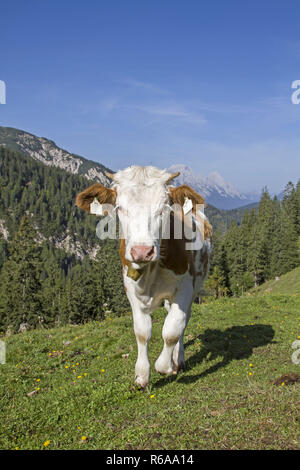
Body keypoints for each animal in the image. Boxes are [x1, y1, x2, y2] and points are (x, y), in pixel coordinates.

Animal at [76, 167, 212, 388]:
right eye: (120, 208)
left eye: (164, 208)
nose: (142, 251)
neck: (150, 272)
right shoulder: (130, 288)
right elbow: (142, 332)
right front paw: (141, 375)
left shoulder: (185, 288)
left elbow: (172, 330)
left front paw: (164, 366)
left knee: (183, 322)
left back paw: (178, 359)